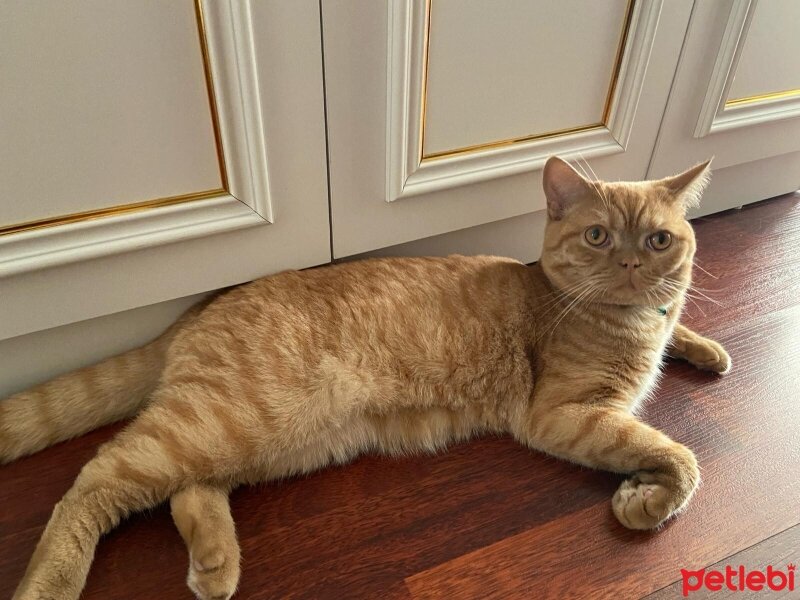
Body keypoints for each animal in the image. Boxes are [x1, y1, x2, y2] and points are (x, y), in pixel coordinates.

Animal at [0, 157, 728, 596]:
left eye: (659, 240)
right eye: (599, 237)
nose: (632, 265)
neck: (626, 320)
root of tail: (198, 306)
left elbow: (682, 333)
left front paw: (706, 348)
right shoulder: (565, 414)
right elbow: (679, 457)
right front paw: (646, 503)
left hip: (267, 442)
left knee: (189, 491)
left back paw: (215, 565)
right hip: (229, 422)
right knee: (94, 481)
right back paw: (50, 586)